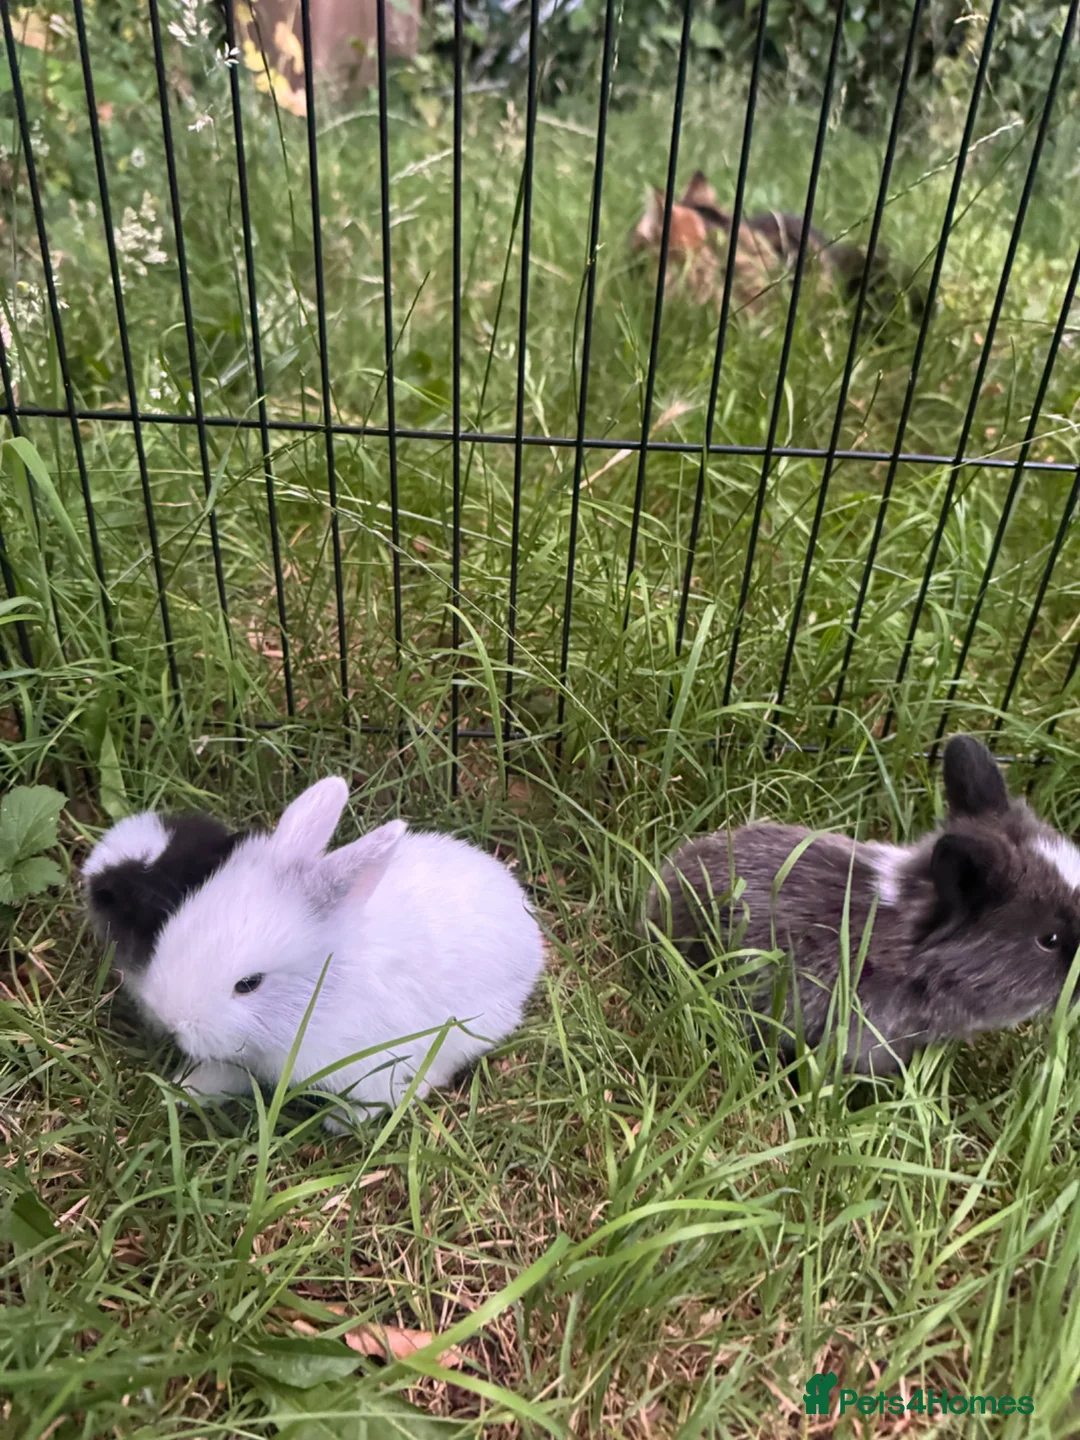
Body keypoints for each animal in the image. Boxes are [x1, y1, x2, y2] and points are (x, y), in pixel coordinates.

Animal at [112, 777, 546, 1126]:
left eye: (249, 984)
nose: (170, 1020)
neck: (321, 996)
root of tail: (527, 925)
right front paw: (184, 1090)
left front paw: (342, 1122)